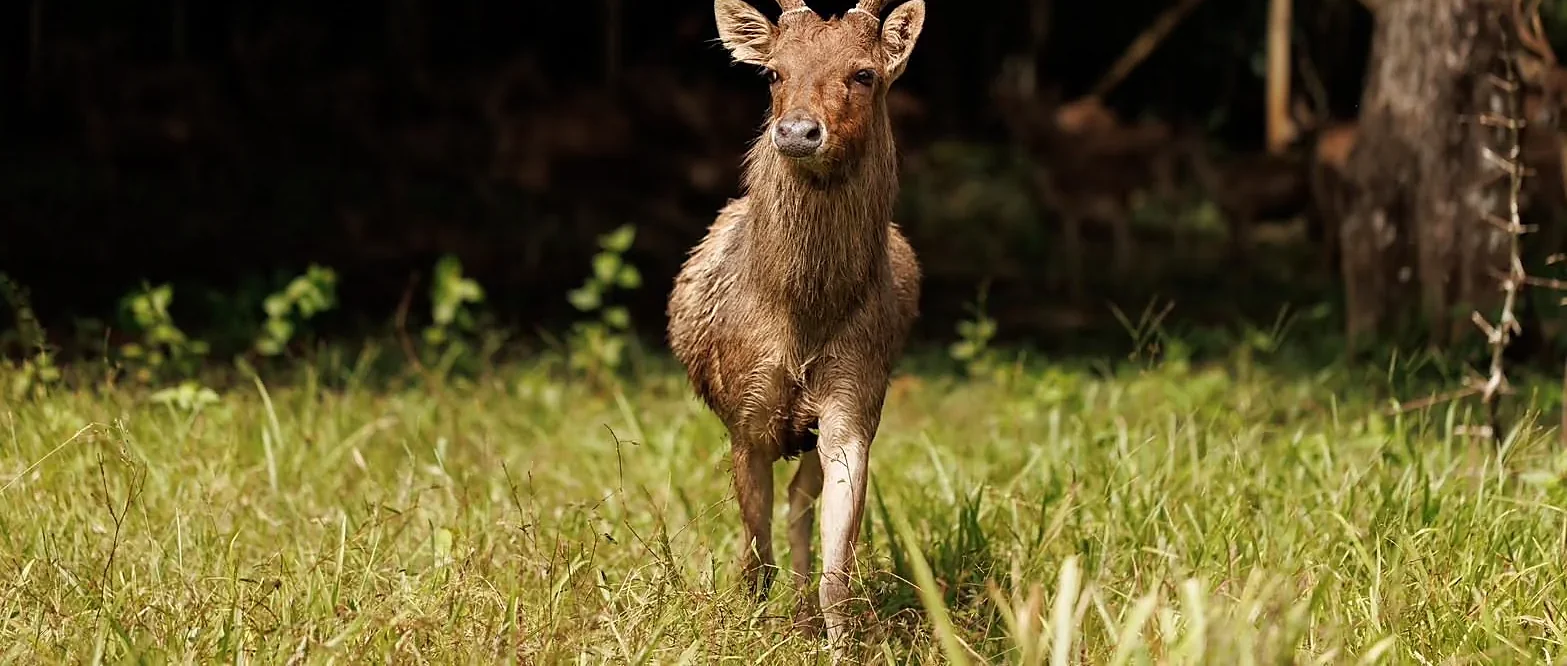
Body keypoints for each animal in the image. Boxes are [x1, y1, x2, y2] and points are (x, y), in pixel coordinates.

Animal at [665, 0, 925, 654]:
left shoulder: (853, 406)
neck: (801, 323)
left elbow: (838, 567)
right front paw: (749, 631)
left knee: (800, 506)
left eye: (863, 73)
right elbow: (755, 556)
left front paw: (838, 644)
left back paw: (805, 620)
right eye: (773, 73)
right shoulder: (746, 416)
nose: (799, 132)